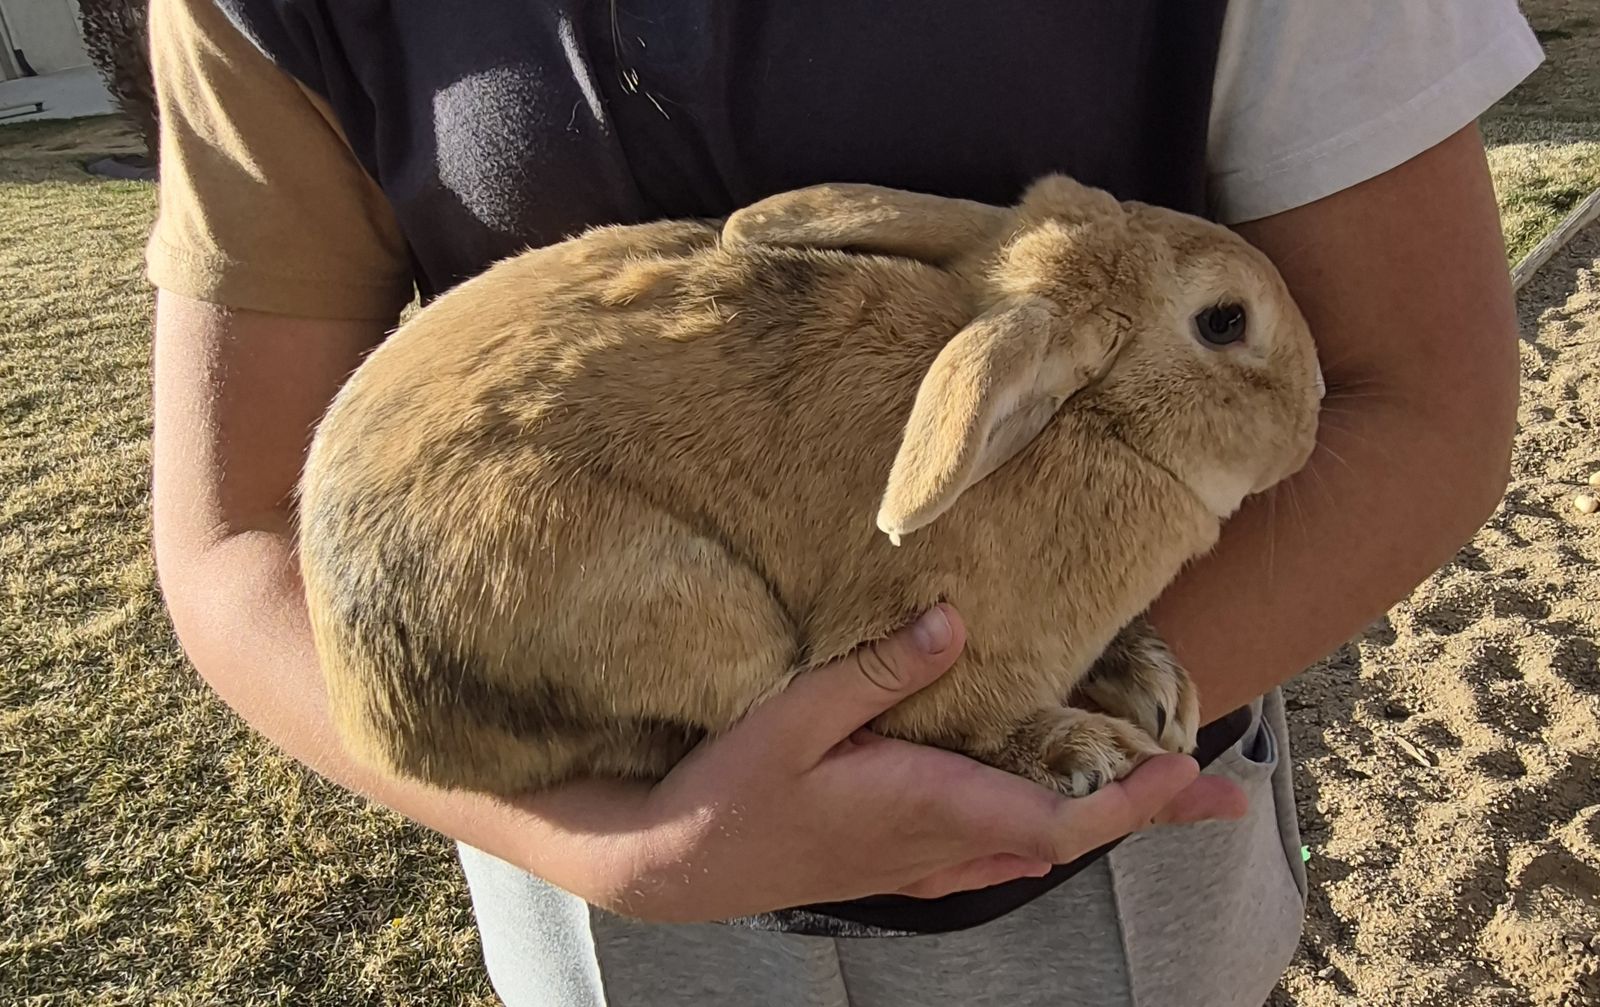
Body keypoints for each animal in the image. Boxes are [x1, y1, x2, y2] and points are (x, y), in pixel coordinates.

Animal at [295, 173, 1323, 800]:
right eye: (1224, 320)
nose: (1316, 406)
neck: (1089, 425)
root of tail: (365, 702)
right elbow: (960, 728)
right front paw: (1087, 750)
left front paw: (1155, 686)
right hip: (677, 605)